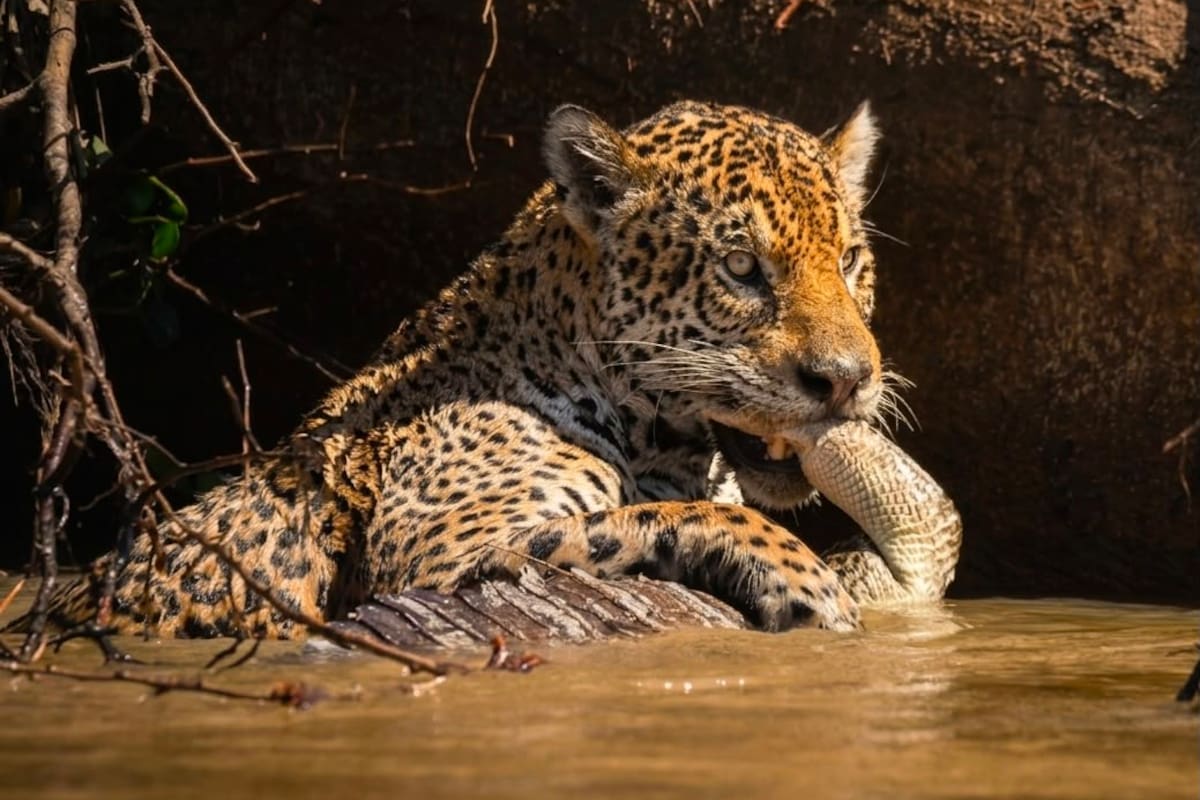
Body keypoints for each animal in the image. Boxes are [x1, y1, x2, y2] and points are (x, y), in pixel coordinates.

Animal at [20, 99, 889, 639]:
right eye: (741, 268)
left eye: (850, 260)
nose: (846, 379)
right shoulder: (441, 553)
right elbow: (662, 515)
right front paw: (804, 578)